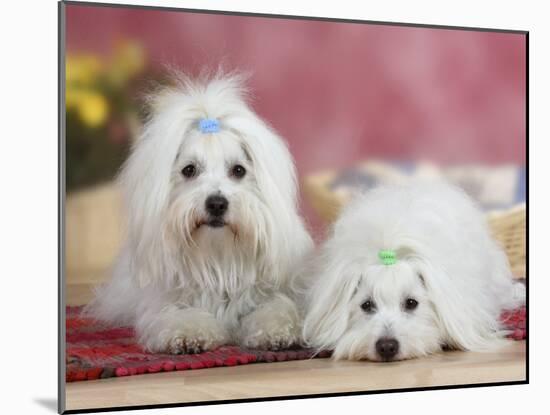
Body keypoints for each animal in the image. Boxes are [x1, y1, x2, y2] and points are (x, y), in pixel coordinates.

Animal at [85, 70, 314, 354]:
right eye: (189, 170)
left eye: (238, 170)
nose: (216, 203)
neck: (219, 259)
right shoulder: (165, 304)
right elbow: (181, 316)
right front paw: (189, 334)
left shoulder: (273, 291)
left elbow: (277, 308)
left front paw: (277, 332)